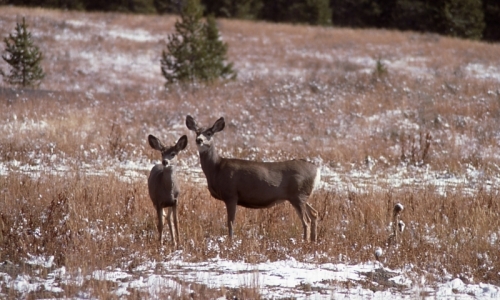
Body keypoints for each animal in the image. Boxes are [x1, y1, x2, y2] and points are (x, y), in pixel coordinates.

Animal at [187, 115, 320, 241]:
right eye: (197, 132)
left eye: (209, 133)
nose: (199, 140)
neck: (216, 168)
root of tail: (317, 169)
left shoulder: (231, 194)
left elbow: (230, 223)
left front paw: (230, 242)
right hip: (301, 195)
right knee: (314, 213)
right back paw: (313, 241)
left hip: (298, 195)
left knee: (306, 221)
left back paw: (304, 242)